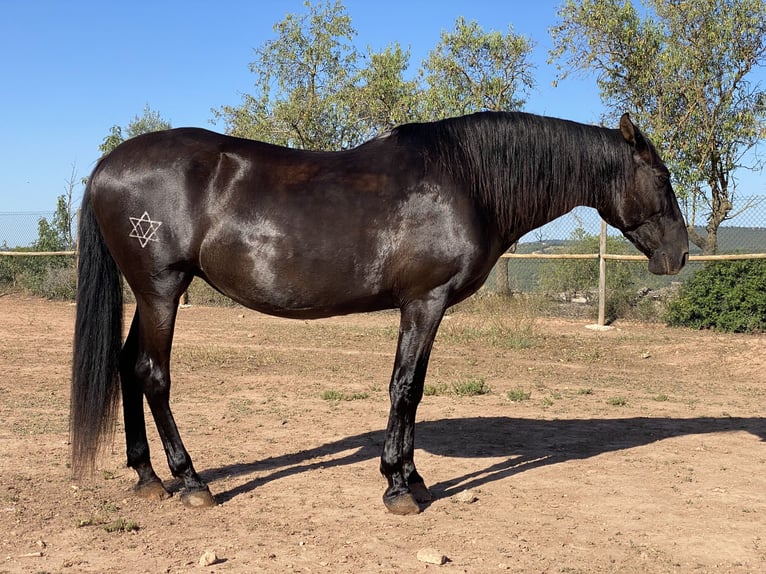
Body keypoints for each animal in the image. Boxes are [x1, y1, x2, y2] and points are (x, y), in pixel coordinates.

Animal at [72, 110, 692, 516]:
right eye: (663, 178)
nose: (679, 255)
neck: (466, 179)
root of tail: (105, 166)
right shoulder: (424, 301)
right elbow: (406, 387)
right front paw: (399, 488)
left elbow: (410, 390)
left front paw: (413, 478)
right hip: (161, 289)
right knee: (153, 374)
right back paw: (191, 481)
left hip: (149, 293)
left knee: (127, 366)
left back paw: (148, 477)